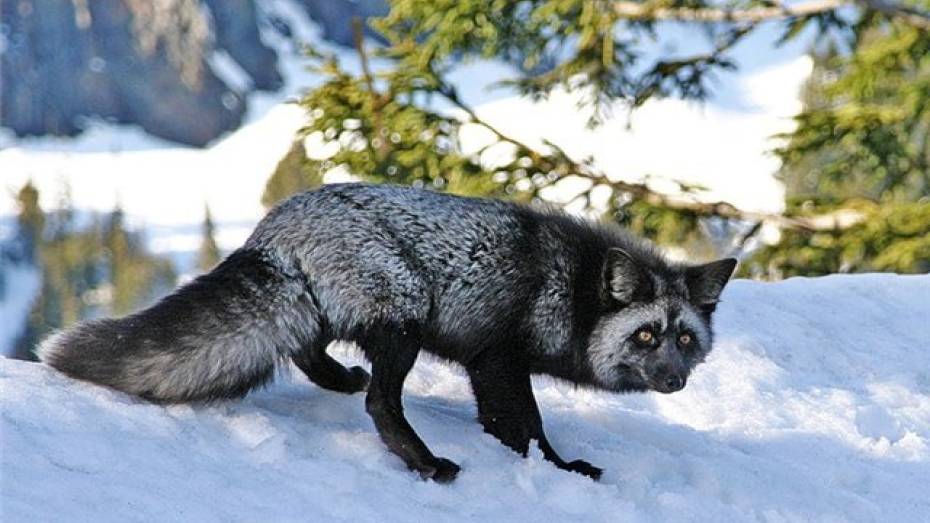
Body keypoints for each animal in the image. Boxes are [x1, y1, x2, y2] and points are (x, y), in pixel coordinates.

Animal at [40, 184, 736, 484]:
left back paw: (340, 381)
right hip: (404, 319)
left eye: (684, 340)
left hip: (335, 314)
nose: (675, 381)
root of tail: (271, 228)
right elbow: (527, 428)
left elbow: (514, 424)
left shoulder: (491, 366)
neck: (575, 287)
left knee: (308, 350)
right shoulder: (496, 359)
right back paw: (424, 463)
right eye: (645, 337)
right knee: (380, 401)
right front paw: (555, 470)